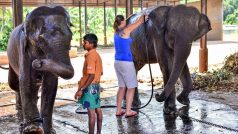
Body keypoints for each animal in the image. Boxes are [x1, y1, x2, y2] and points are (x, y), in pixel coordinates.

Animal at [6, 5, 74, 133]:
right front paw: (32, 129)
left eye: (71, 37)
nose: (37, 63)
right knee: (15, 85)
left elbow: (50, 84)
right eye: (41, 40)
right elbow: (26, 81)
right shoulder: (23, 50)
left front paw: (48, 131)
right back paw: (20, 119)